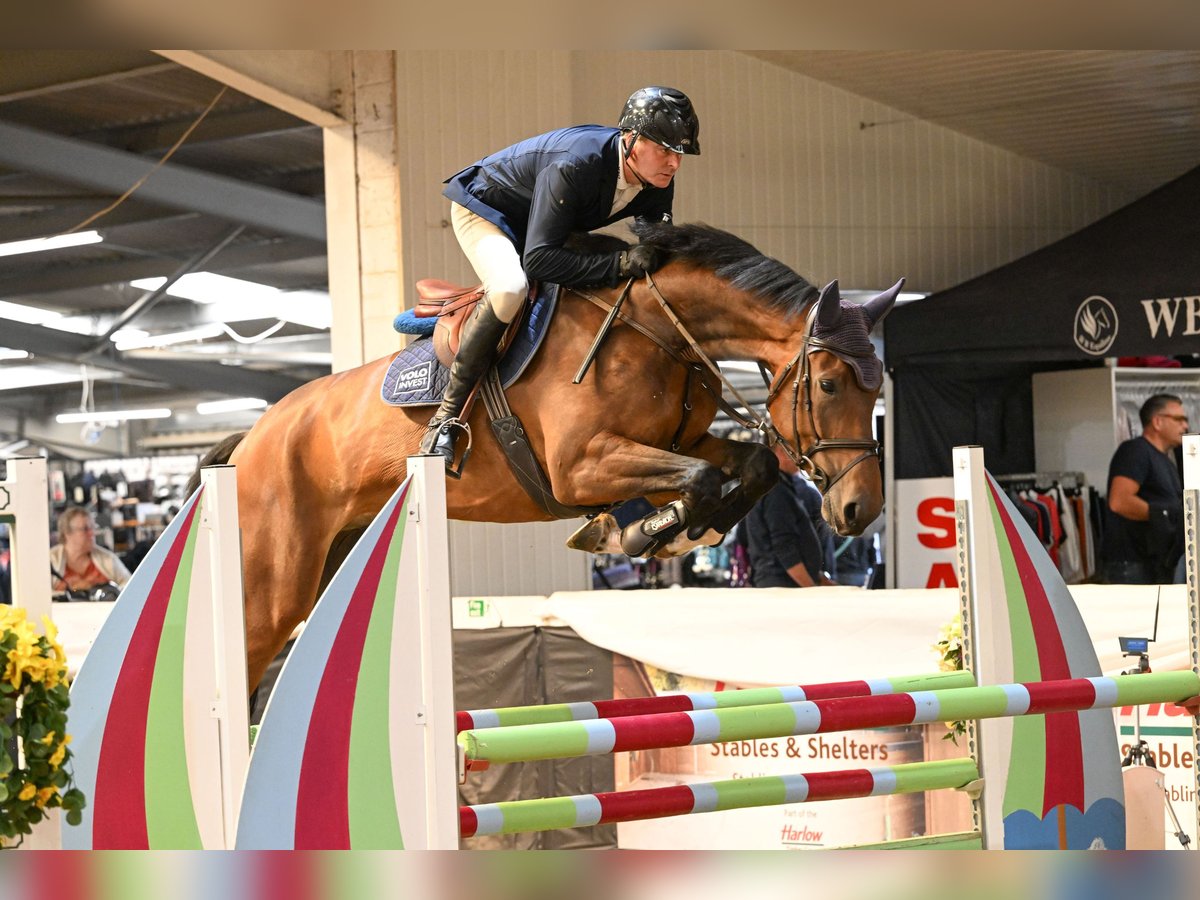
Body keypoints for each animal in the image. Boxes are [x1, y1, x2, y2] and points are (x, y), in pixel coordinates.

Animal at [206, 224, 902, 691]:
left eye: (878, 385)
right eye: (831, 385)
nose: (860, 508)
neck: (660, 330)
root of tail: (255, 436)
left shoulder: (676, 445)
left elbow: (745, 469)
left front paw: (672, 531)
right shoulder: (581, 466)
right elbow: (702, 479)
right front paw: (644, 534)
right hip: (275, 583)